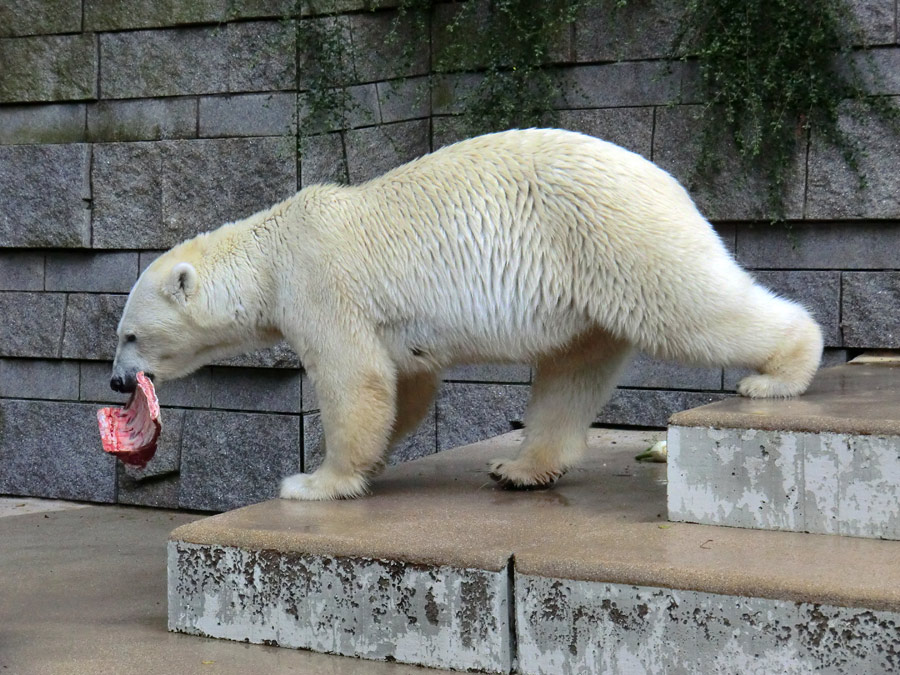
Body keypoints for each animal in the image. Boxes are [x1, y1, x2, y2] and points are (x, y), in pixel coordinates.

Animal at [107, 127, 824, 500]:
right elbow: (405, 384)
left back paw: (782, 370)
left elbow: (355, 380)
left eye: (129, 334)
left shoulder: (321, 284)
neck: (271, 250)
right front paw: (370, 461)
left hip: (614, 235)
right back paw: (522, 467)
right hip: (585, 283)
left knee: (690, 308)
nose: (116, 381)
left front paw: (312, 480)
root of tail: (671, 181)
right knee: (572, 372)